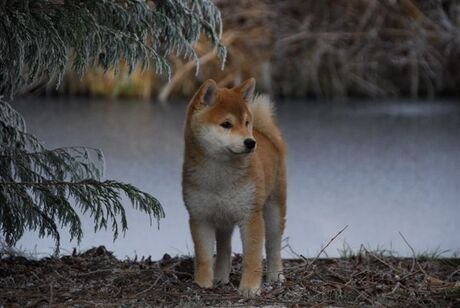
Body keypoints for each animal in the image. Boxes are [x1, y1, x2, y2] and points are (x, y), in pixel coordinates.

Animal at [181, 78, 286, 298]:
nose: (250, 142)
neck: (219, 176)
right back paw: (220, 277)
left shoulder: (251, 215)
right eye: (226, 124)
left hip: (274, 208)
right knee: (224, 249)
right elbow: (204, 256)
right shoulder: (200, 217)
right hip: (223, 218)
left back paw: (276, 276)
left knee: (273, 246)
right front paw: (202, 283)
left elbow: (252, 257)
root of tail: (265, 135)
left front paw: (250, 288)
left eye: (246, 123)